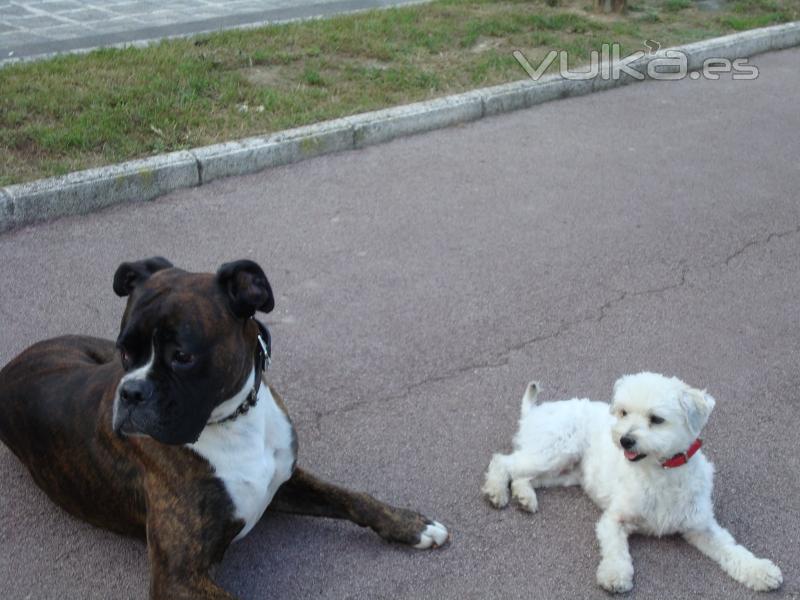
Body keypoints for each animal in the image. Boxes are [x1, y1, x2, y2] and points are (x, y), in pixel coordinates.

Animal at [0, 256, 450, 596]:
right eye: (126, 350)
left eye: (182, 356)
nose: (130, 393)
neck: (235, 420)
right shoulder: (178, 578)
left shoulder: (282, 481)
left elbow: (352, 497)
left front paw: (411, 525)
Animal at [482, 372, 780, 592]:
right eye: (624, 412)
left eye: (656, 419)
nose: (625, 440)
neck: (661, 473)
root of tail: (535, 411)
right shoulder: (614, 519)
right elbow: (616, 550)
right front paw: (615, 575)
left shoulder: (701, 526)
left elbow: (733, 550)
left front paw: (760, 570)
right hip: (554, 451)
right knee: (502, 462)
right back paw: (497, 491)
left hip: (562, 471)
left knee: (522, 475)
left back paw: (524, 497)